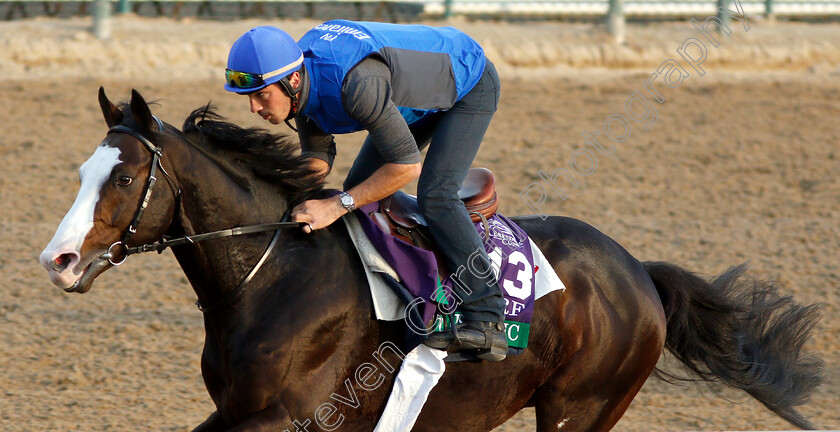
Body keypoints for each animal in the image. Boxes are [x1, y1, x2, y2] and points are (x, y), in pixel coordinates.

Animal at [37, 88, 820, 432]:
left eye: (125, 178)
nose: (59, 259)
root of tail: (638, 274)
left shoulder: (281, 417)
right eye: (80, 170)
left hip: (580, 409)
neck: (272, 275)